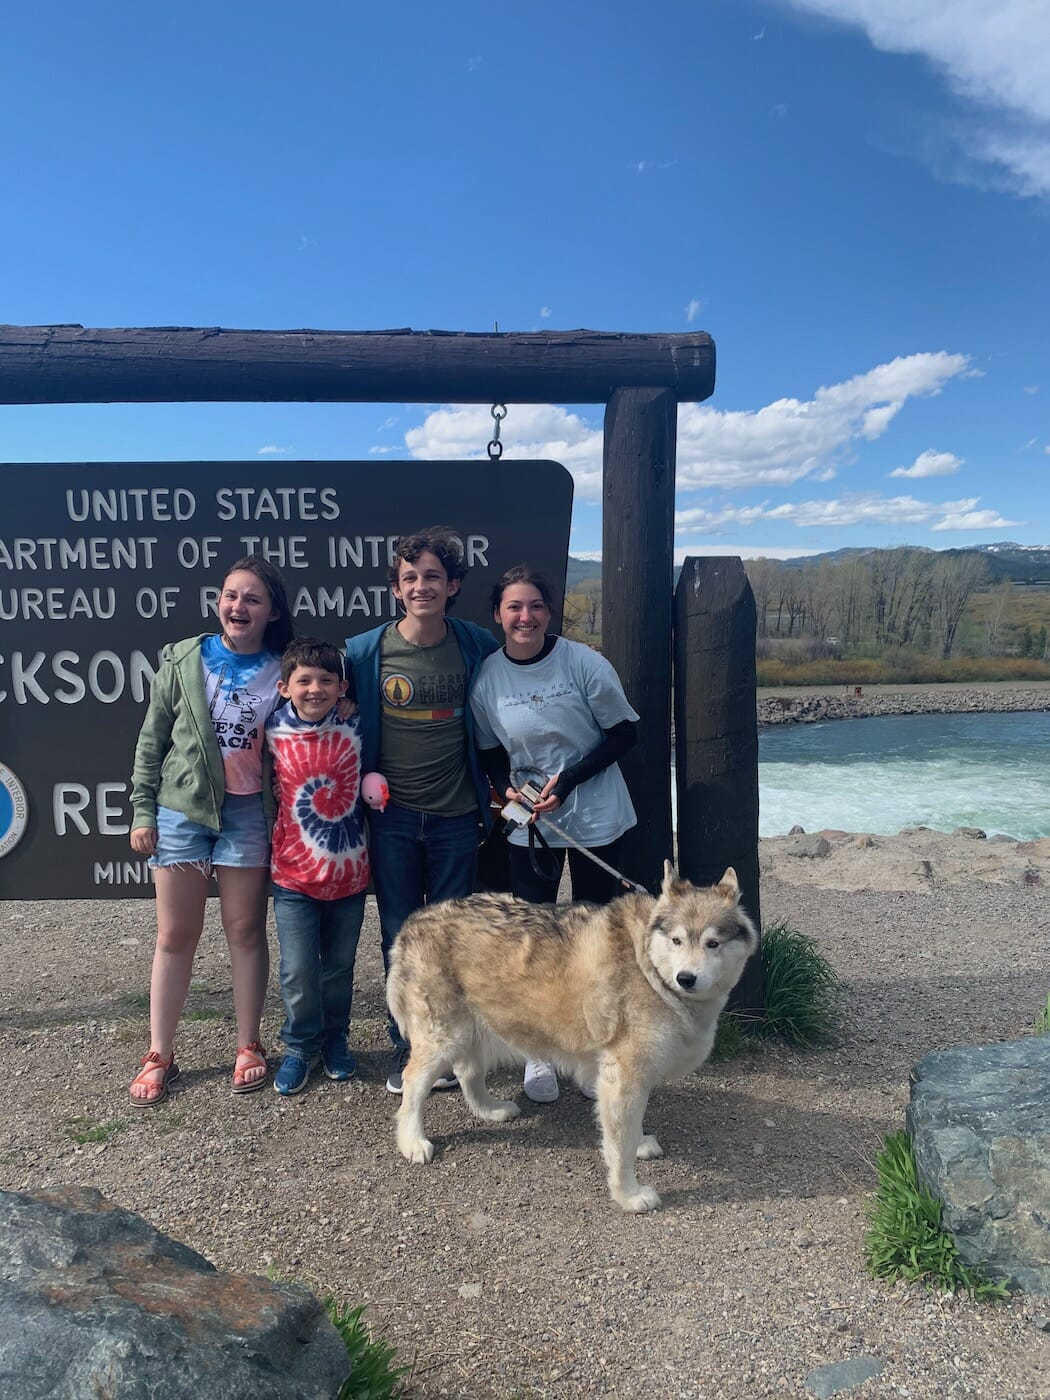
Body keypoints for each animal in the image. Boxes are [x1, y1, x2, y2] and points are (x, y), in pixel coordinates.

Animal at [386, 856, 756, 1209]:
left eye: (712, 943)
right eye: (677, 940)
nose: (686, 978)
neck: (648, 966)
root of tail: (414, 920)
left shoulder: (633, 1078)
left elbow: (629, 1130)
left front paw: (640, 1145)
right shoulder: (624, 1078)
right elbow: (620, 1147)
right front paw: (628, 1195)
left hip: (475, 1029)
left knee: (467, 1072)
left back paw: (490, 1110)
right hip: (444, 1038)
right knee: (413, 1085)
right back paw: (412, 1141)